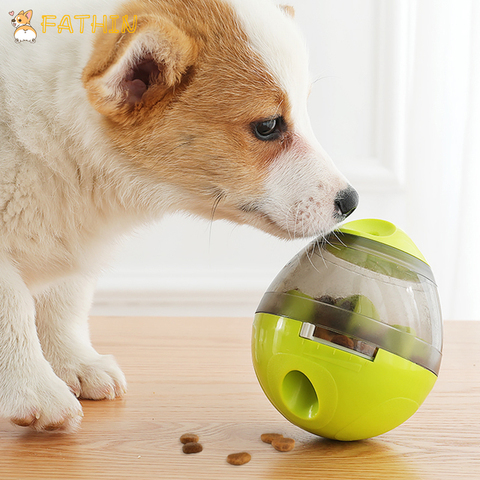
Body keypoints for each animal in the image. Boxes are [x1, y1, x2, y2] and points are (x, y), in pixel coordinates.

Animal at [0, 0, 356, 434]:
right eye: (268, 126)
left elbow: (63, 303)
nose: (351, 201)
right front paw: (35, 388)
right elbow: (14, 313)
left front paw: (76, 363)